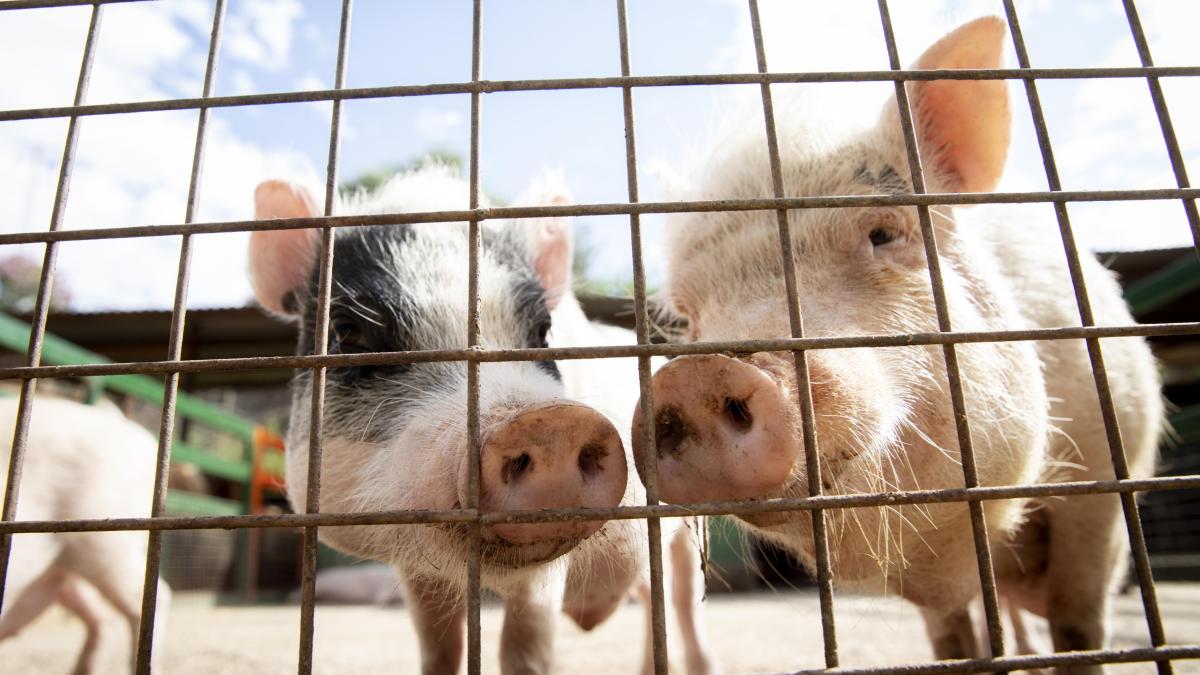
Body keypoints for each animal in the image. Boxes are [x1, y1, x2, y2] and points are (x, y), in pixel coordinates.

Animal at [248, 166, 714, 675]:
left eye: (543, 333)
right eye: (349, 333)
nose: (551, 424)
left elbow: (524, 644)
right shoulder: (416, 569)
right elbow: (438, 646)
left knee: (682, 602)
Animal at [633, 16, 1161, 673]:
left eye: (883, 233)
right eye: (689, 316)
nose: (697, 373)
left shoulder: (1105, 485)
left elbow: (1080, 627)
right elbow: (950, 640)